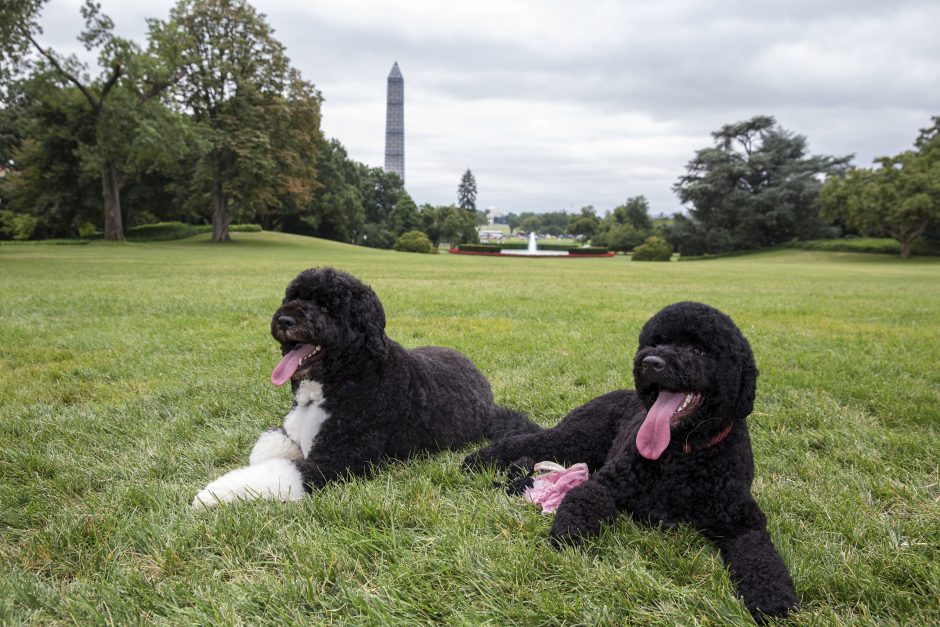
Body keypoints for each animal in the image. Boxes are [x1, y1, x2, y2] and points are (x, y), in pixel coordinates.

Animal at [195, 268, 536, 508]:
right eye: (293, 296)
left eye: (327, 308)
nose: (285, 319)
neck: (344, 377)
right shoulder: (291, 432)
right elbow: (266, 450)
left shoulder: (338, 461)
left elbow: (280, 471)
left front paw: (212, 493)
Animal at [466, 302, 796, 620]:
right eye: (656, 341)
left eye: (698, 350)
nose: (651, 362)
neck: (683, 453)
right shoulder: (608, 483)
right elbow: (584, 498)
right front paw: (570, 533)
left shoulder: (742, 520)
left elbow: (761, 555)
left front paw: (773, 597)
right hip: (575, 438)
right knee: (529, 441)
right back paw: (476, 460)